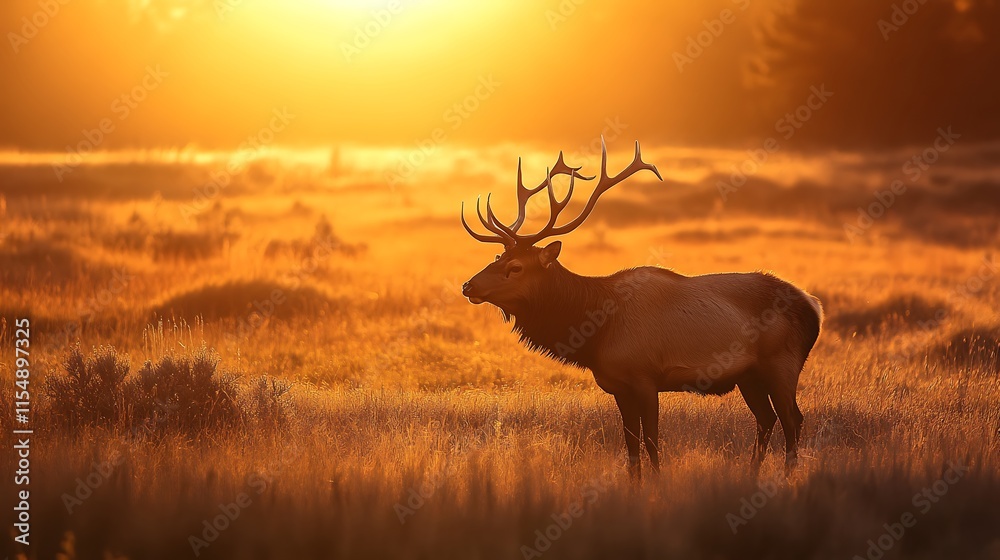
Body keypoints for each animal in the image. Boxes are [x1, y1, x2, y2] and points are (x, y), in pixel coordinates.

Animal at [460, 140, 823, 479]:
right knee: (767, 418)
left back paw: (787, 477)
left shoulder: (646, 377)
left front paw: (657, 486)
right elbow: (631, 445)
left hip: (782, 363)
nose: (468, 286)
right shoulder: (618, 385)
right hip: (749, 375)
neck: (597, 333)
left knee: (793, 419)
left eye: (516, 267)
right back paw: (752, 474)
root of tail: (813, 307)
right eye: (497, 257)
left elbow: (651, 441)